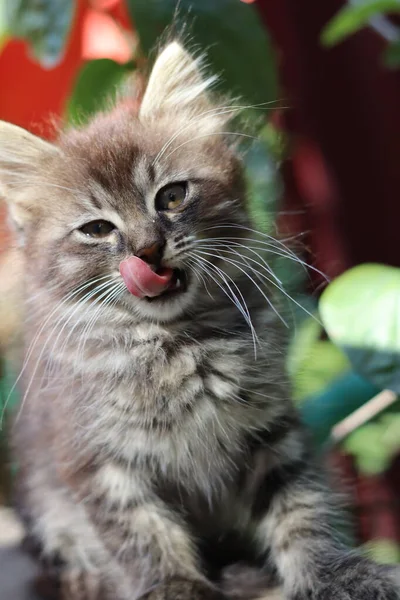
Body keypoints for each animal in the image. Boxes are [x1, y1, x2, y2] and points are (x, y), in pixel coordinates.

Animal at [0, 42, 400, 600]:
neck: (178, 343)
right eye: (97, 229)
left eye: (171, 196)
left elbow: (301, 511)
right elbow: (141, 532)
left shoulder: (271, 431)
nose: (147, 249)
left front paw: (335, 573)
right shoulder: (96, 458)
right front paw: (176, 586)